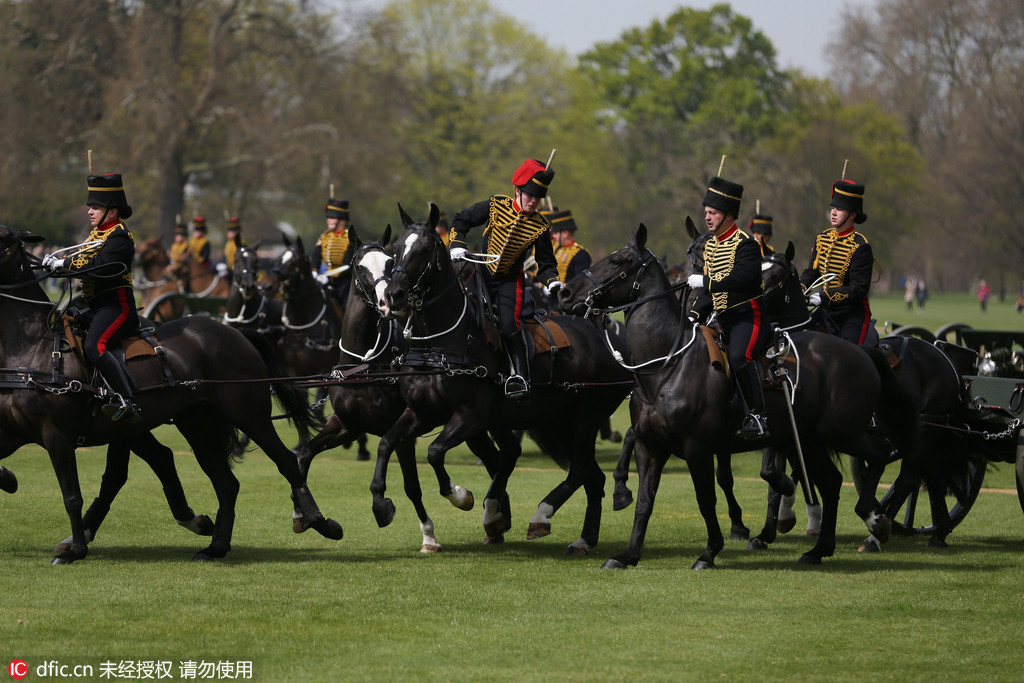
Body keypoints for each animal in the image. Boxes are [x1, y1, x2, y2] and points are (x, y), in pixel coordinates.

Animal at [0, 227, 344, 565]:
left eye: (3, 239)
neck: (35, 346)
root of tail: (234, 332)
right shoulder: (17, 431)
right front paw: (11, 481)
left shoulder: (57, 435)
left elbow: (72, 494)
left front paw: (75, 550)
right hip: (196, 425)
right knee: (224, 482)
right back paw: (215, 546)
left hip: (249, 416)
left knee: (286, 461)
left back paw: (317, 521)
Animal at [292, 227, 507, 552]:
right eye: (359, 266)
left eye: (390, 263)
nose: (385, 301)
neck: (366, 365)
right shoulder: (347, 425)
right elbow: (304, 454)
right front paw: (310, 518)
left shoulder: (403, 430)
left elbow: (411, 486)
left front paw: (426, 533)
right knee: (496, 461)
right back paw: (497, 520)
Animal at [378, 202, 630, 557]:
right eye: (397, 249)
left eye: (425, 249)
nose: (394, 295)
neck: (442, 341)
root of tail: (611, 339)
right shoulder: (421, 413)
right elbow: (386, 444)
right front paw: (381, 506)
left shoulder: (469, 416)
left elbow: (435, 452)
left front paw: (461, 496)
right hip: (555, 422)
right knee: (588, 475)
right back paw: (580, 538)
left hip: (587, 415)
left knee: (579, 468)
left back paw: (538, 517)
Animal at [561, 225, 921, 573]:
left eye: (618, 261)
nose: (565, 293)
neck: (665, 365)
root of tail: (861, 352)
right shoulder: (650, 447)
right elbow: (645, 503)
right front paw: (628, 554)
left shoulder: (698, 448)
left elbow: (708, 499)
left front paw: (710, 552)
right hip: (811, 440)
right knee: (832, 484)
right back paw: (820, 549)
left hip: (842, 432)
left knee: (880, 454)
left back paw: (875, 520)